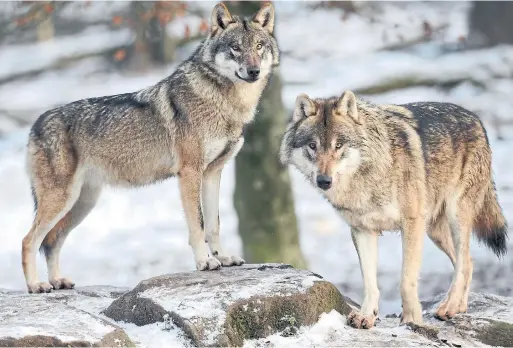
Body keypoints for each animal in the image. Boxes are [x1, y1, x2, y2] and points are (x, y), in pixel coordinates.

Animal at [23, 2, 280, 294]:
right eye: (235, 47)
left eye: (259, 46)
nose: (254, 71)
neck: (225, 104)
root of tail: (36, 124)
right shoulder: (190, 173)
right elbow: (199, 224)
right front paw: (205, 262)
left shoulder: (213, 174)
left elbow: (214, 224)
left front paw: (223, 258)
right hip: (62, 200)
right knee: (29, 240)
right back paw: (36, 285)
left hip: (81, 204)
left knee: (52, 241)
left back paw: (58, 281)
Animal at [280, 90, 508, 328]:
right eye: (312, 146)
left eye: (339, 145)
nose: (324, 180)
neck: (367, 178)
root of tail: (476, 118)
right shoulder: (363, 230)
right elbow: (369, 282)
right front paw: (366, 316)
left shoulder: (411, 224)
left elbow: (406, 280)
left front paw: (412, 319)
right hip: (434, 231)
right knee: (468, 263)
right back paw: (459, 307)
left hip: (455, 217)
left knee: (464, 263)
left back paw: (450, 307)